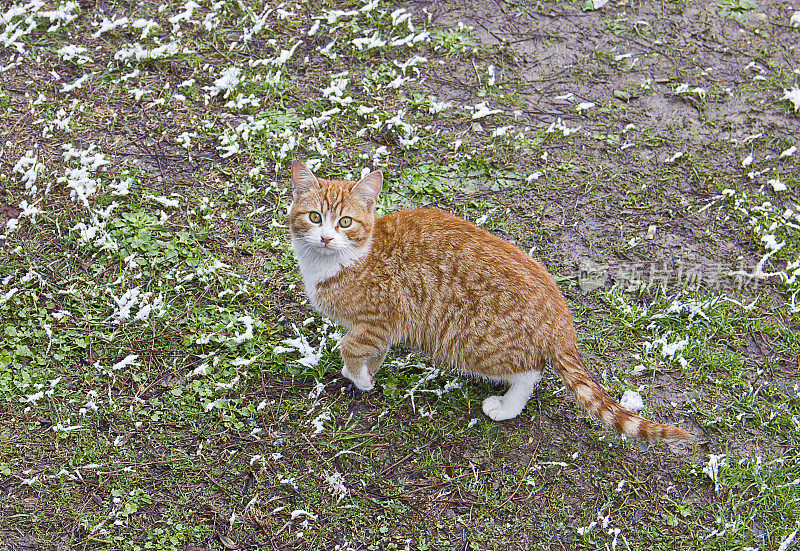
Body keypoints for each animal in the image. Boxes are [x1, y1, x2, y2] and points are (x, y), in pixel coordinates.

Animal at [290, 162, 692, 442]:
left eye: (345, 222)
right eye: (314, 217)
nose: (326, 238)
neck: (341, 261)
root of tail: (560, 318)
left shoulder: (380, 319)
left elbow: (350, 348)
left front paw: (360, 379)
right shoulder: (380, 329)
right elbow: (373, 351)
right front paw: (366, 373)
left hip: (473, 343)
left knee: (530, 373)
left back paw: (505, 407)